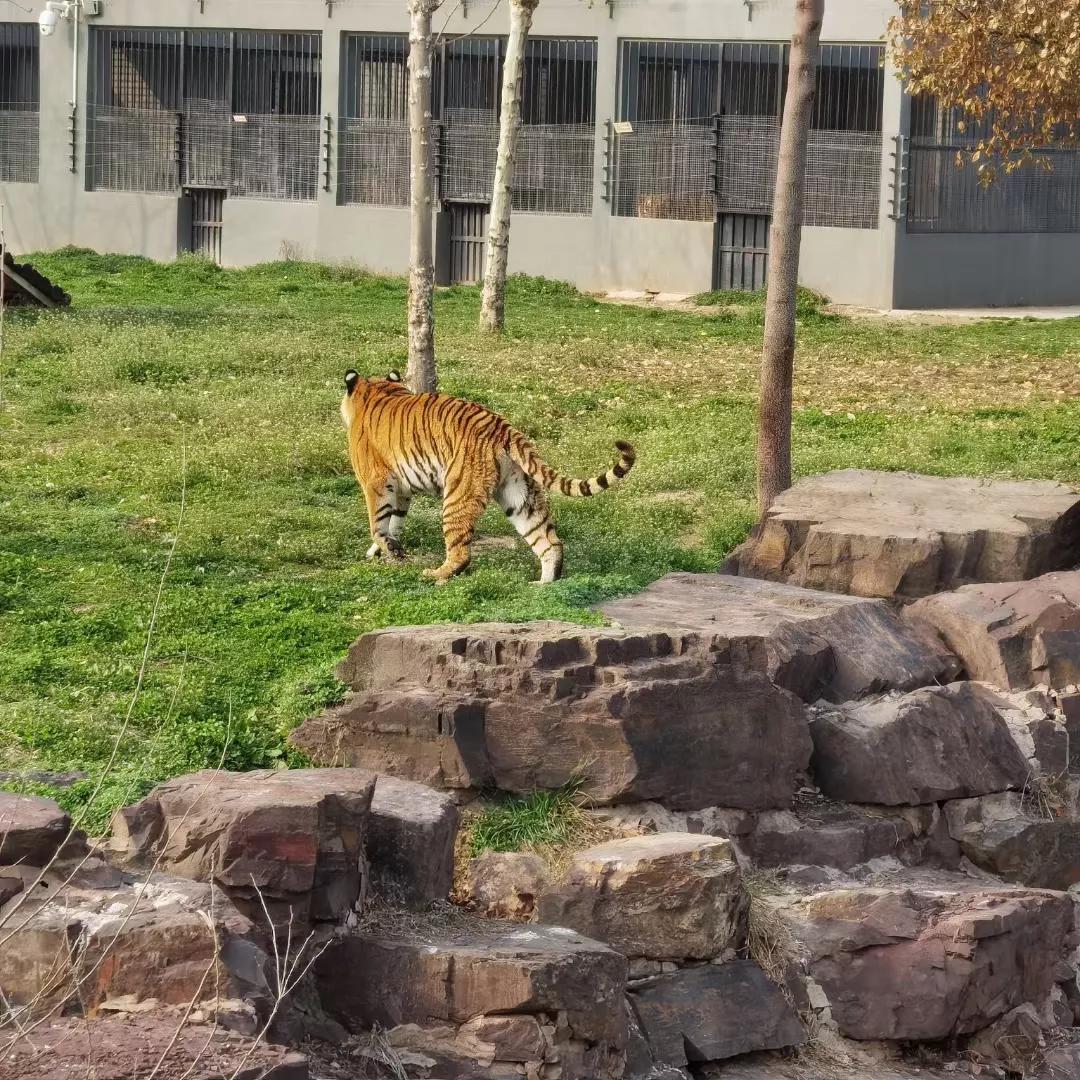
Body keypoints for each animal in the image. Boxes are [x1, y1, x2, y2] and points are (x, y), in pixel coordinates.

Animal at [341, 373, 635, 591]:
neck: (379, 391)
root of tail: (501, 426)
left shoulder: (376, 482)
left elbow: (378, 523)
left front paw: (384, 549)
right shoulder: (402, 490)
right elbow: (395, 522)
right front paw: (389, 552)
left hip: (457, 495)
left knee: (460, 551)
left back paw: (436, 575)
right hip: (520, 495)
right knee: (549, 541)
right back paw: (543, 583)